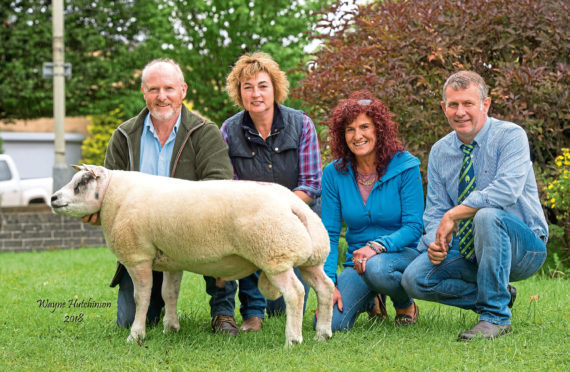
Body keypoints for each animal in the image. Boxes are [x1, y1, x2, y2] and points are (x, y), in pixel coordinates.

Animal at [50, 166, 332, 346]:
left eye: (82, 183)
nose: (53, 198)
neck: (113, 196)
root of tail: (292, 204)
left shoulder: (138, 256)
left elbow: (142, 298)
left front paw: (136, 335)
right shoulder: (172, 259)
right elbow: (169, 294)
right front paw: (170, 328)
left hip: (275, 253)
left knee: (295, 293)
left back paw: (293, 339)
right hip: (309, 257)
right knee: (326, 288)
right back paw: (323, 333)